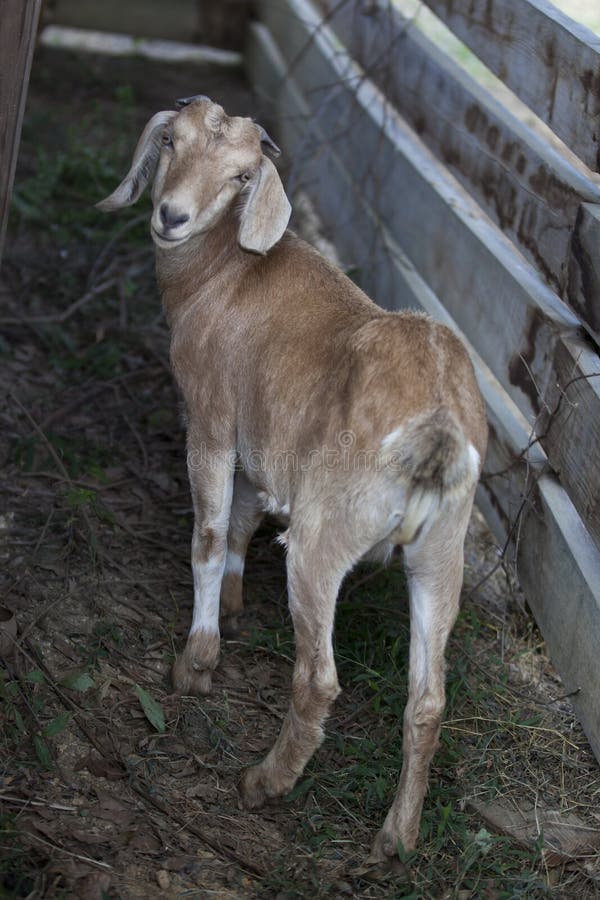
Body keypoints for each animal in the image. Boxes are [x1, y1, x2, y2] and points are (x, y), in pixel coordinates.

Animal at [97, 96, 488, 867]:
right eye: (171, 140)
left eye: (241, 174)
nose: (172, 217)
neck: (224, 271)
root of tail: (436, 425)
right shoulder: (261, 442)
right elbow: (244, 519)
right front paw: (235, 604)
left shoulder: (212, 420)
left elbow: (210, 534)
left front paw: (198, 660)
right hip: (442, 554)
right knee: (428, 700)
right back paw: (396, 838)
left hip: (322, 540)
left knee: (318, 678)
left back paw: (263, 782)